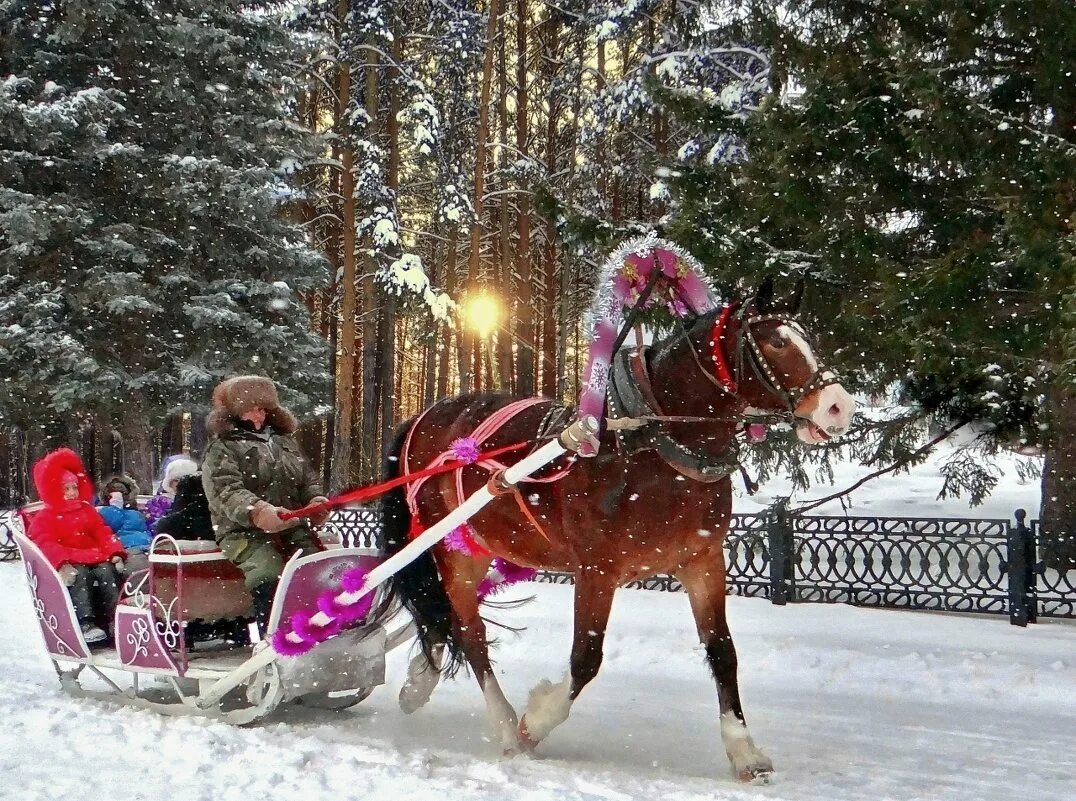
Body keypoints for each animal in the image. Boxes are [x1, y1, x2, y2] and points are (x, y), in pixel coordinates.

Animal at [383, 277, 852, 783]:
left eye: (810, 338)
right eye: (777, 341)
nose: (839, 407)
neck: (653, 444)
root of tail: (422, 418)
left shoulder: (703, 561)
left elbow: (723, 651)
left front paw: (744, 750)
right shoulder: (597, 570)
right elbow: (585, 658)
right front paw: (535, 721)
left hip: (483, 545)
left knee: (443, 617)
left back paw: (419, 682)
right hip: (454, 551)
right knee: (470, 634)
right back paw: (506, 726)